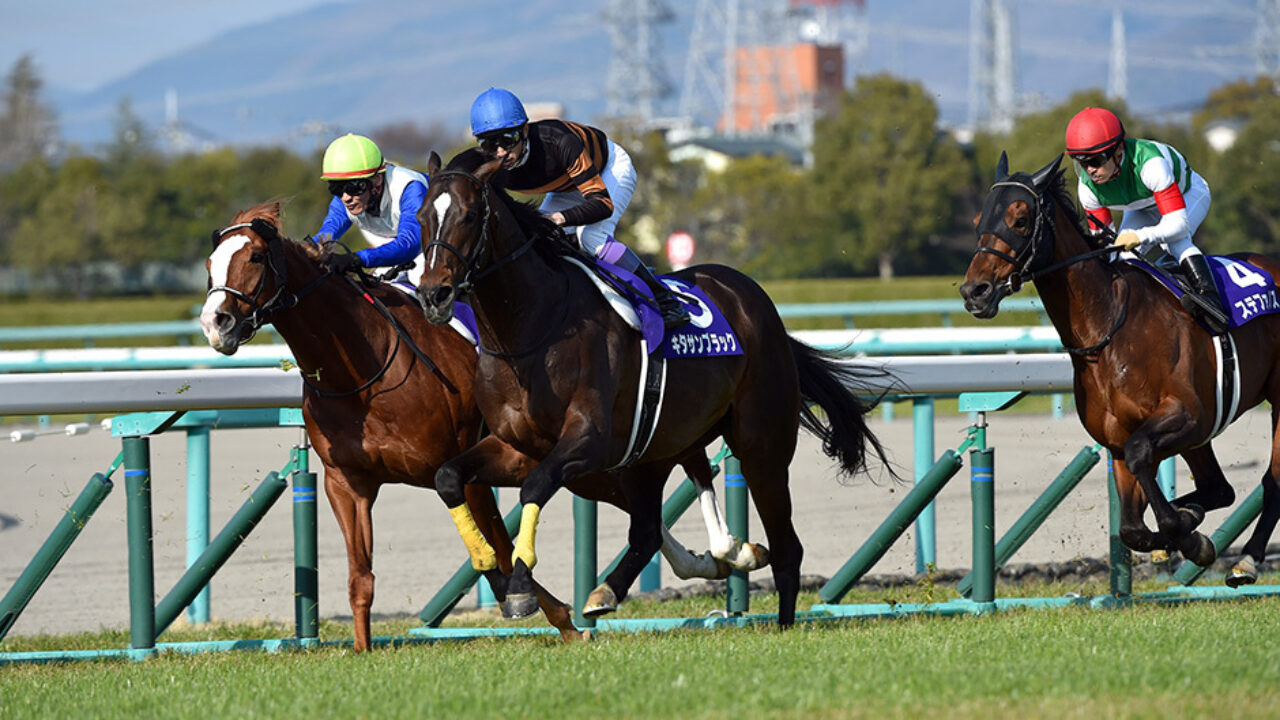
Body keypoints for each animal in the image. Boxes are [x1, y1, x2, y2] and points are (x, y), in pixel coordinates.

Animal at [414, 149, 885, 622]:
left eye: (469, 215)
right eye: (420, 216)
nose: (434, 294)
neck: (531, 331)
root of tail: (751, 296)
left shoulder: (588, 440)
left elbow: (536, 486)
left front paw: (519, 588)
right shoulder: (517, 446)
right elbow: (448, 476)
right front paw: (488, 563)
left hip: (761, 444)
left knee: (786, 545)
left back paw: (783, 622)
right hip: (654, 450)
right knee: (647, 530)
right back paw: (612, 589)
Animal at [962, 152, 1280, 584]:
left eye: (1021, 219)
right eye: (979, 219)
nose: (973, 292)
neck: (1108, 327)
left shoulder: (1188, 415)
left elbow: (1143, 459)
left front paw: (1187, 532)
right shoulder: (1119, 441)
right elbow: (1132, 527)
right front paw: (1187, 530)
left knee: (1273, 480)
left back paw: (1247, 559)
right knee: (1220, 488)